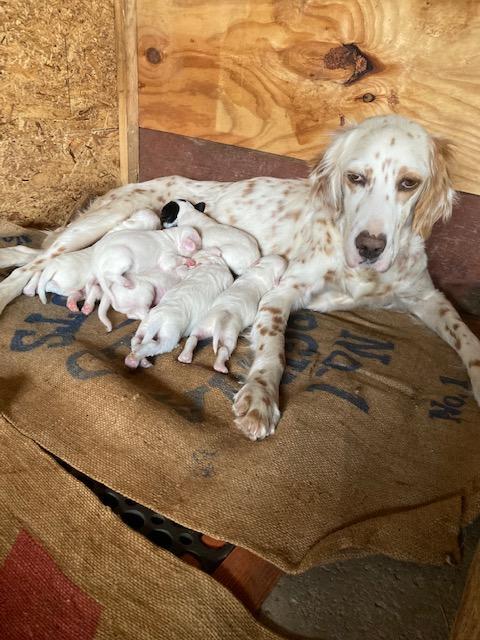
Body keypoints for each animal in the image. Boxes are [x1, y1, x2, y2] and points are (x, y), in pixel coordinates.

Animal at [2, 115, 480, 440]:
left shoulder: (426, 297)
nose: (370, 247)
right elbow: (273, 349)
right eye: (355, 177)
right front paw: (261, 398)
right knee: (28, 267)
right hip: (98, 224)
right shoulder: (281, 293)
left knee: (30, 254)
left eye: (408, 183)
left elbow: (467, 337)